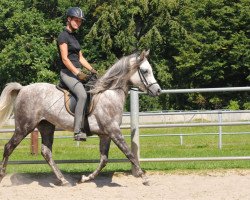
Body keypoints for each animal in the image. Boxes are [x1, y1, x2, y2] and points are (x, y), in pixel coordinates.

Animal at [0, 50, 160, 186]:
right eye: (145, 71)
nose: (158, 90)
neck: (108, 94)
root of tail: (22, 89)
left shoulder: (105, 134)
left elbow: (104, 160)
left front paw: (85, 178)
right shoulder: (114, 131)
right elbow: (129, 154)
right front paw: (144, 178)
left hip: (46, 126)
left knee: (46, 152)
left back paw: (63, 180)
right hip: (24, 127)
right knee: (8, 147)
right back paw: (2, 175)